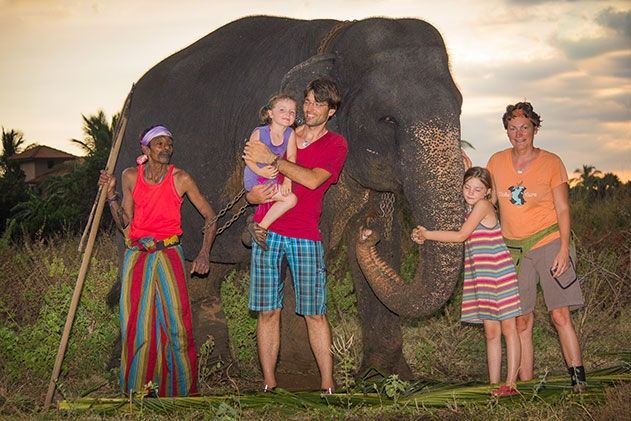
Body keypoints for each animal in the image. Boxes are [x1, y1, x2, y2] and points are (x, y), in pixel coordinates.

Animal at [116, 13, 466, 388]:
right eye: (388, 119)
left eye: (460, 109)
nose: (368, 234)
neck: (337, 38)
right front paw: (300, 380)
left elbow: (386, 244)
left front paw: (385, 377)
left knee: (204, 273)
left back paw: (220, 373)